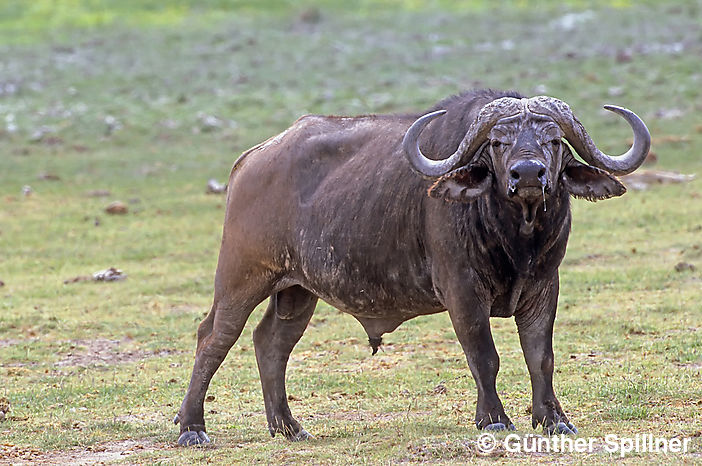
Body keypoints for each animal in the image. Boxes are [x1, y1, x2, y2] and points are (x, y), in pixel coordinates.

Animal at [173, 90, 652, 444]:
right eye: (498, 142)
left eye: (554, 141)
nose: (529, 174)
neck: (516, 240)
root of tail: (250, 160)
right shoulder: (462, 290)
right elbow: (485, 355)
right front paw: (494, 418)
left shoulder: (543, 287)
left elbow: (541, 356)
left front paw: (554, 419)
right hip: (242, 276)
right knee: (213, 337)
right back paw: (192, 427)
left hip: (297, 290)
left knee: (271, 342)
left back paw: (289, 427)